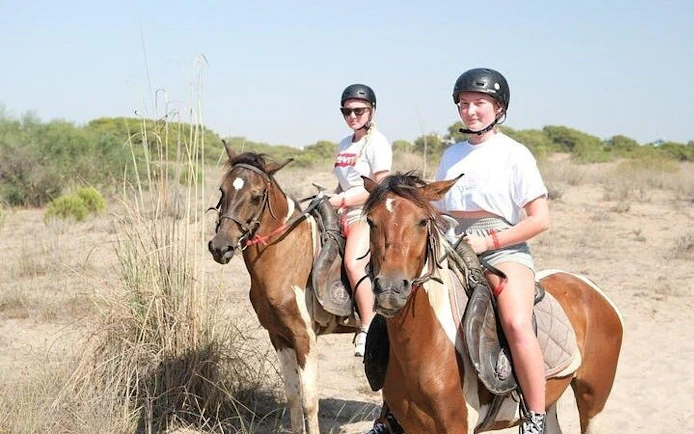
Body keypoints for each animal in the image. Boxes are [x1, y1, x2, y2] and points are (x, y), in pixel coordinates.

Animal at [207, 144, 359, 434]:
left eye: (256, 196)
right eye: (222, 190)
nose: (221, 247)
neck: (286, 254)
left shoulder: (304, 337)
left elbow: (309, 402)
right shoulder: (279, 336)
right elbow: (293, 397)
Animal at [362, 172, 623, 434]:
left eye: (423, 221)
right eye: (371, 222)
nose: (390, 289)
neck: (425, 348)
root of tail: (590, 287)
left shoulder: (456, 426)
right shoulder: (411, 425)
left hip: (593, 399)